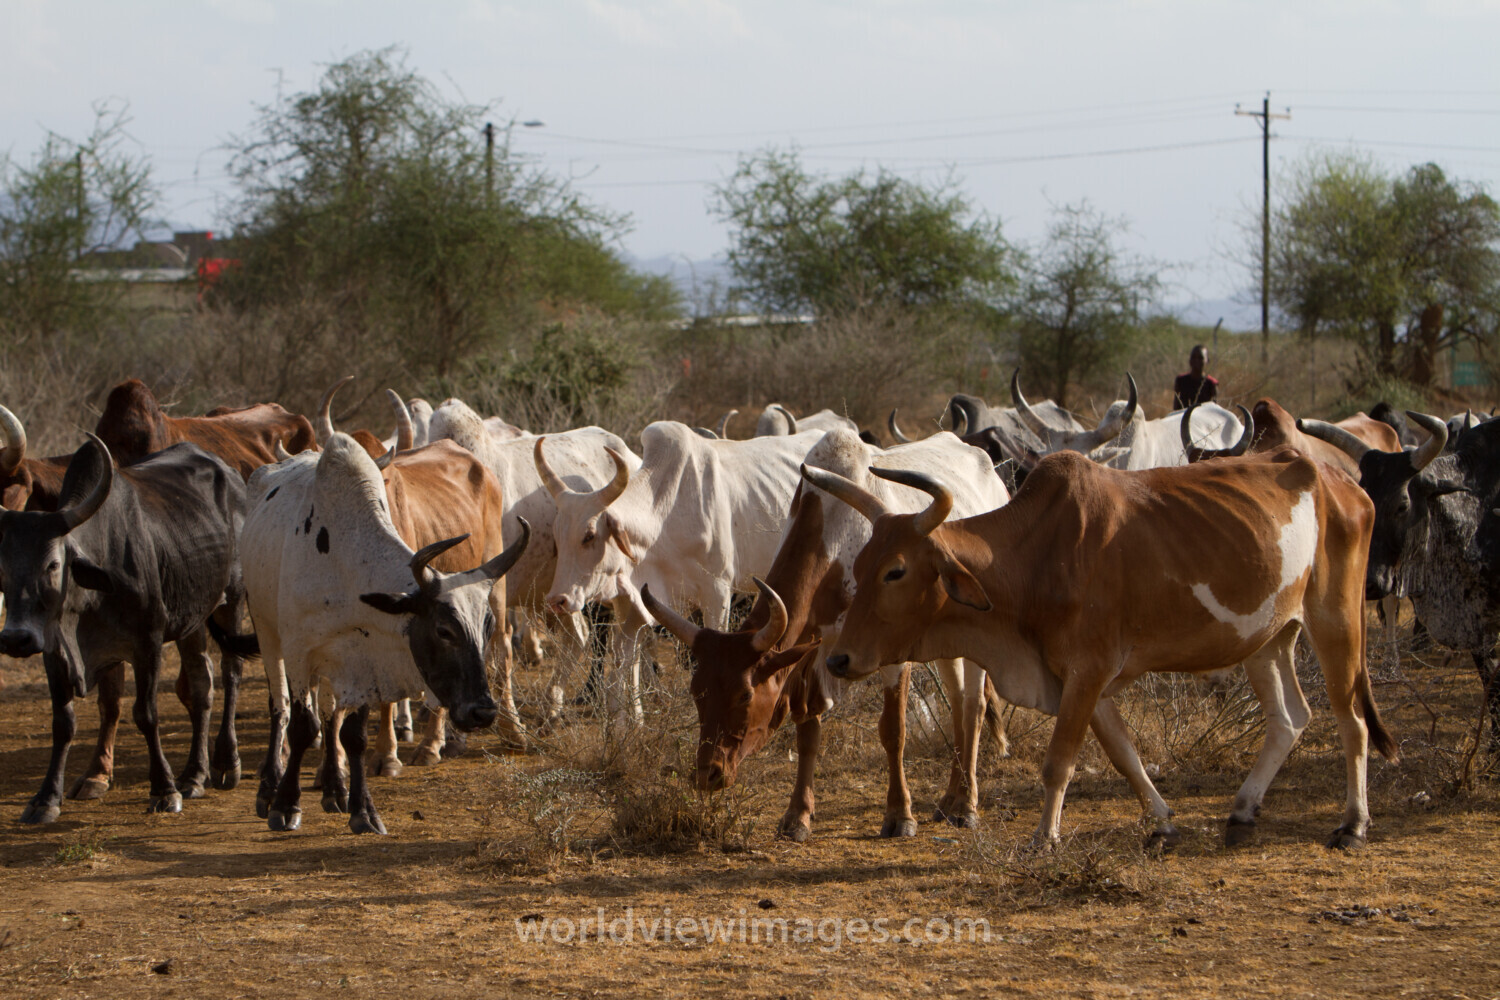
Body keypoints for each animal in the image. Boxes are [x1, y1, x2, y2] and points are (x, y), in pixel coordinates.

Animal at [0, 435, 250, 823]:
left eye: (53, 564)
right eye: (4, 566)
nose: (15, 638)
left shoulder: (148, 643)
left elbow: (146, 714)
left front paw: (163, 790)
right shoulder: (54, 651)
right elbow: (63, 722)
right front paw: (45, 798)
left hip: (231, 601)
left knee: (232, 671)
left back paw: (225, 763)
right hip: (191, 618)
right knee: (201, 683)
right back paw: (194, 776)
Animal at [241, 433, 529, 834]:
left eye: (484, 626)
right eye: (443, 630)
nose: (482, 711)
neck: (343, 561)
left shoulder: (366, 657)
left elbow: (353, 735)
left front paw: (362, 809)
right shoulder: (300, 653)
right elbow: (301, 725)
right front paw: (285, 805)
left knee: (330, 715)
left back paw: (336, 787)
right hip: (267, 631)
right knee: (281, 708)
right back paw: (270, 786)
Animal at [538, 422, 824, 720]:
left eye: (589, 535)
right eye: (557, 536)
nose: (557, 600)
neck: (667, 517)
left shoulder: (717, 593)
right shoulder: (632, 601)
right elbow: (625, 663)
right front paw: (630, 723)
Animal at [640, 427, 1010, 841]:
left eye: (745, 694)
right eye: (696, 692)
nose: (708, 775)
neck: (834, 532)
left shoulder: (889, 657)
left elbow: (892, 731)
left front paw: (899, 814)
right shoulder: (812, 652)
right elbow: (808, 735)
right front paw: (797, 815)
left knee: (972, 706)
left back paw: (965, 803)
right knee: (959, 701)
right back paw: (949, 798)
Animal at [808, 446, 1397, 850]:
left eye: (896, 571)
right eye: (860, 565)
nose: (839, 659)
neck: (1037, 556)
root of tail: (1341, 482)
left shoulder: (1088, 672)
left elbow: (1059, 761)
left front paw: (1044, 838)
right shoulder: (1085, 681)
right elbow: (1123, 753)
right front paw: (1162, 822)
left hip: (1335, 622)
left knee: (1352, 722)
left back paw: (1353, 824)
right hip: (1268, 639)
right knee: (1289, 718)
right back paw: (1244, 809)